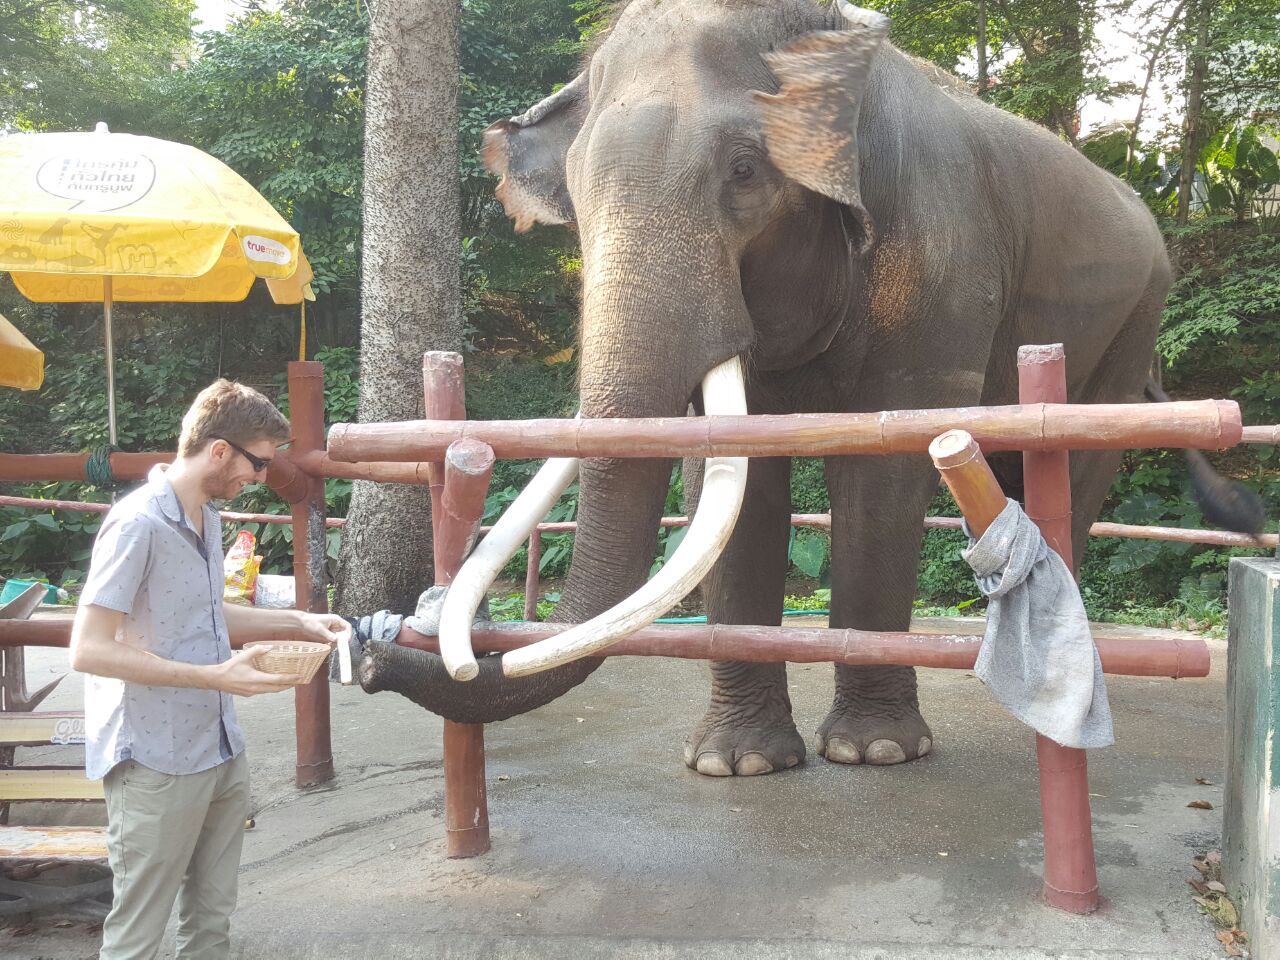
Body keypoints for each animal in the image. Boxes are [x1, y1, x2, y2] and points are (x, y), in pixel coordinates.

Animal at [355, 0, 1254, 778]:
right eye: (573, 196)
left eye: (747, 170)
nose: (373, 648)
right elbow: (729, 477)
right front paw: (738, 764)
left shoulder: (936, 255)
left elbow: (884, 472)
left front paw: (875, 753)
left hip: (1132, 321)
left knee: (1069, 462)